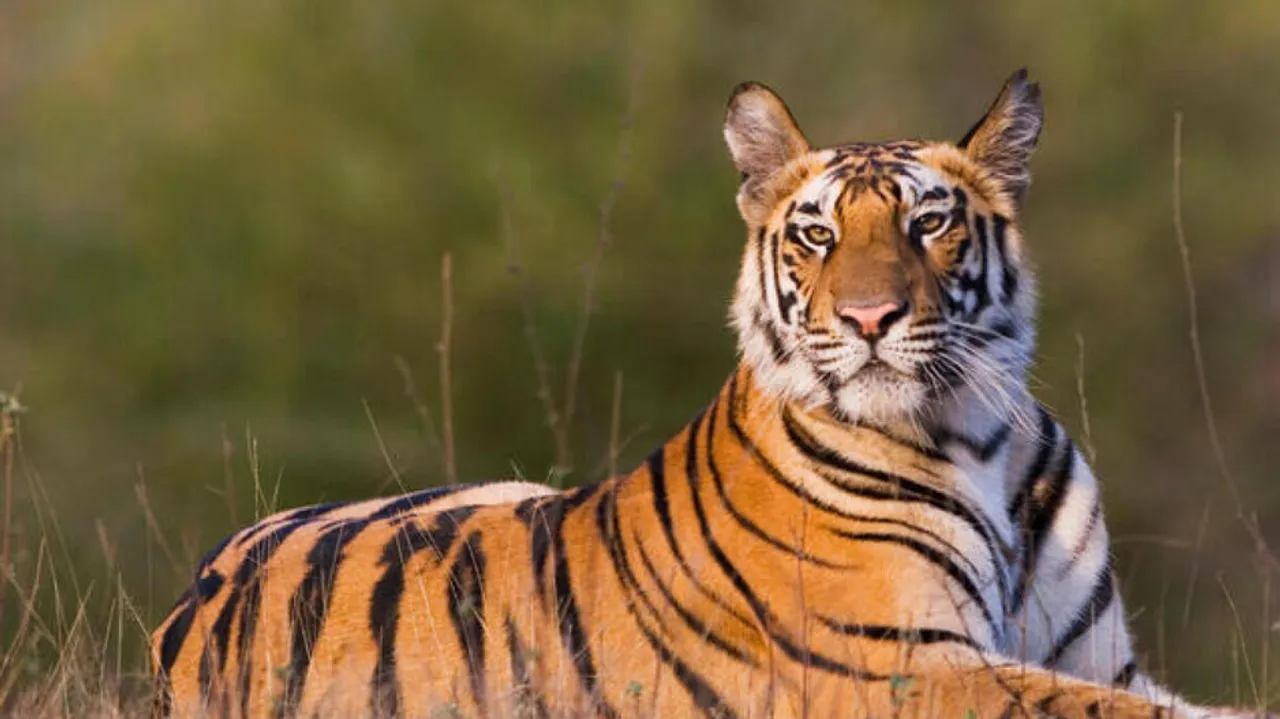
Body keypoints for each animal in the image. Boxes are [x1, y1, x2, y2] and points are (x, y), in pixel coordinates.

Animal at [151, 70, 1264, 718]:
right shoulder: (902, 668)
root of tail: (189, 602)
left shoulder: (1099, 658)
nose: (869, 318)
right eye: (817, 233)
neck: (978, 433)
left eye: (927, 224)